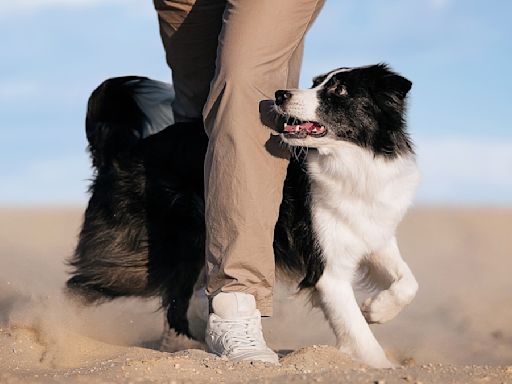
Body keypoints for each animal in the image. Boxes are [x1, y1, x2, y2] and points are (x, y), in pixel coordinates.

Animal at [67, 64, 420, 368]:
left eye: (340, 89)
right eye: (316, 82)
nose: (280, 94)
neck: (353, 160)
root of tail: (119, 153)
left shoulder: (372, 231)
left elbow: (408, 282)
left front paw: (377, 310)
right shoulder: (326, 268)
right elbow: (356, 329)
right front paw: (380, 363)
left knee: (176, 301)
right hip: (148, 253)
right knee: (83, 284)